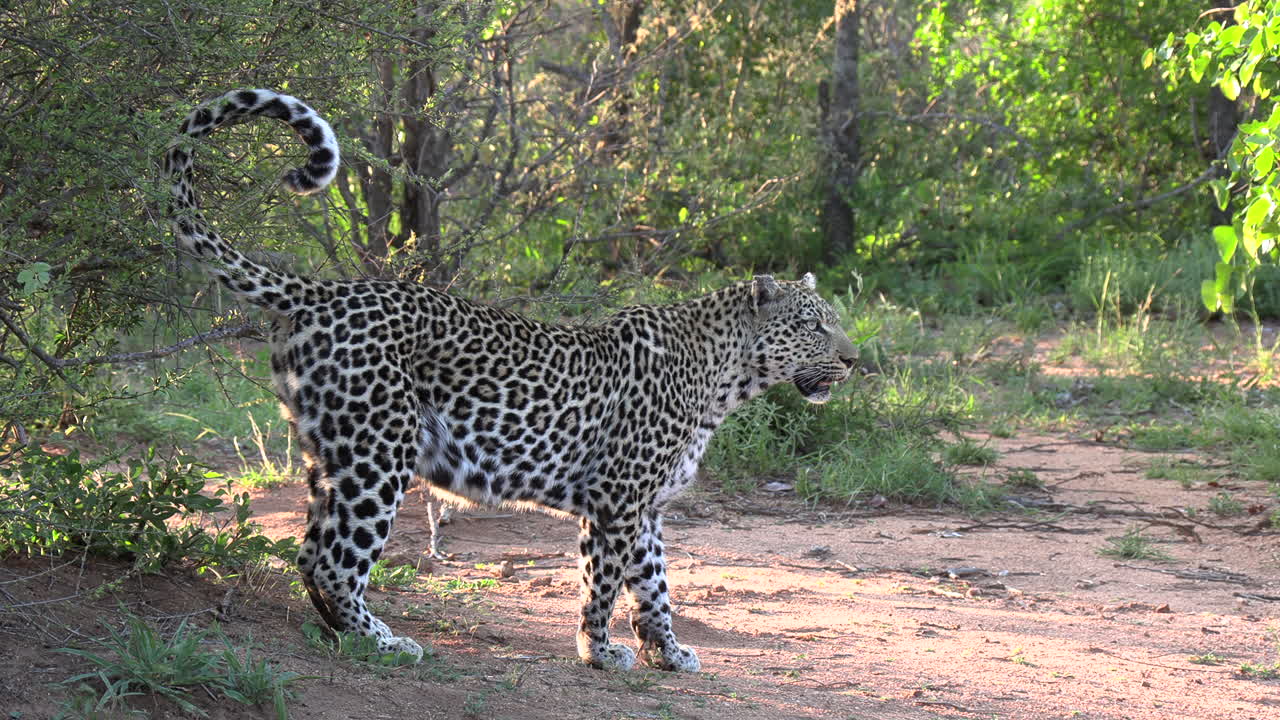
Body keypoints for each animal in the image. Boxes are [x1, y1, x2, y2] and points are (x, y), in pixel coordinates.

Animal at [166, 88, 858, 673]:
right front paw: (600, 651)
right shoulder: (617, 498)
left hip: (327, 458)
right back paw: (385, 642)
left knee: (310, 555)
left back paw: (341, 632)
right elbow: (606, 580)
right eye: (814, 326)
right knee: (336, 562)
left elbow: (654, 583)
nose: (854, 361)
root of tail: (321, 292)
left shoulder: (643, 505)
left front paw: (666, 651)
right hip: (378, 454)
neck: (725, 379)